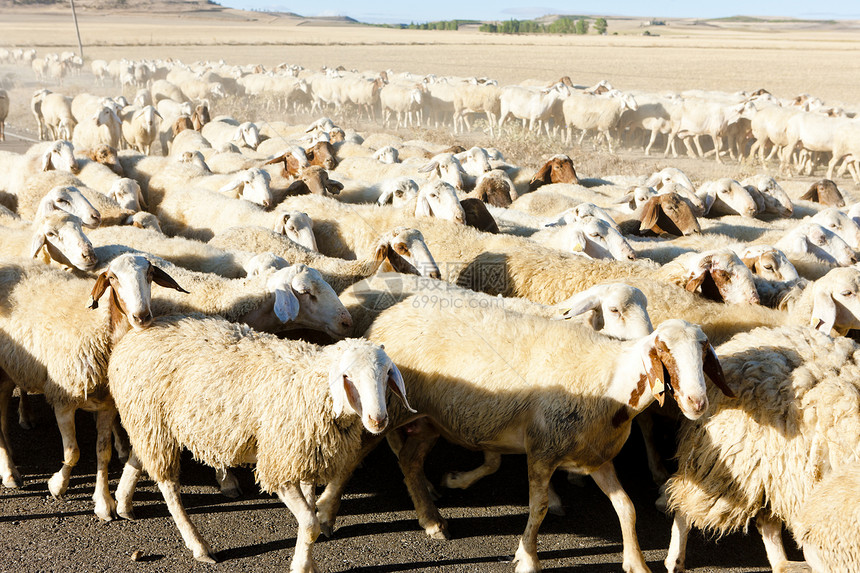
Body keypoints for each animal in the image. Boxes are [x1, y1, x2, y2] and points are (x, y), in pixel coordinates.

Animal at [107, 318, 410, 568]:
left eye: (386, 374)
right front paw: (301, 566)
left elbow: (308, 519)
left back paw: (122, 502)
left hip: (146, 421)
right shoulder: (279, 462)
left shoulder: (305, 459)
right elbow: (310, 524)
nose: (378, 420)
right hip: (153, 420)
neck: (310, 385)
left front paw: (305, 561)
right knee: (168, 486)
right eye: (347, 376)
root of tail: (135, 335)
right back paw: (199, 546)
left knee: (138, 456)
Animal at [664, 326, 860, 572]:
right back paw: (675, 559)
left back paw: (783, 563)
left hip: (772, 471)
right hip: (725, 463)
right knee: (685, 505)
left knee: (768, 524)